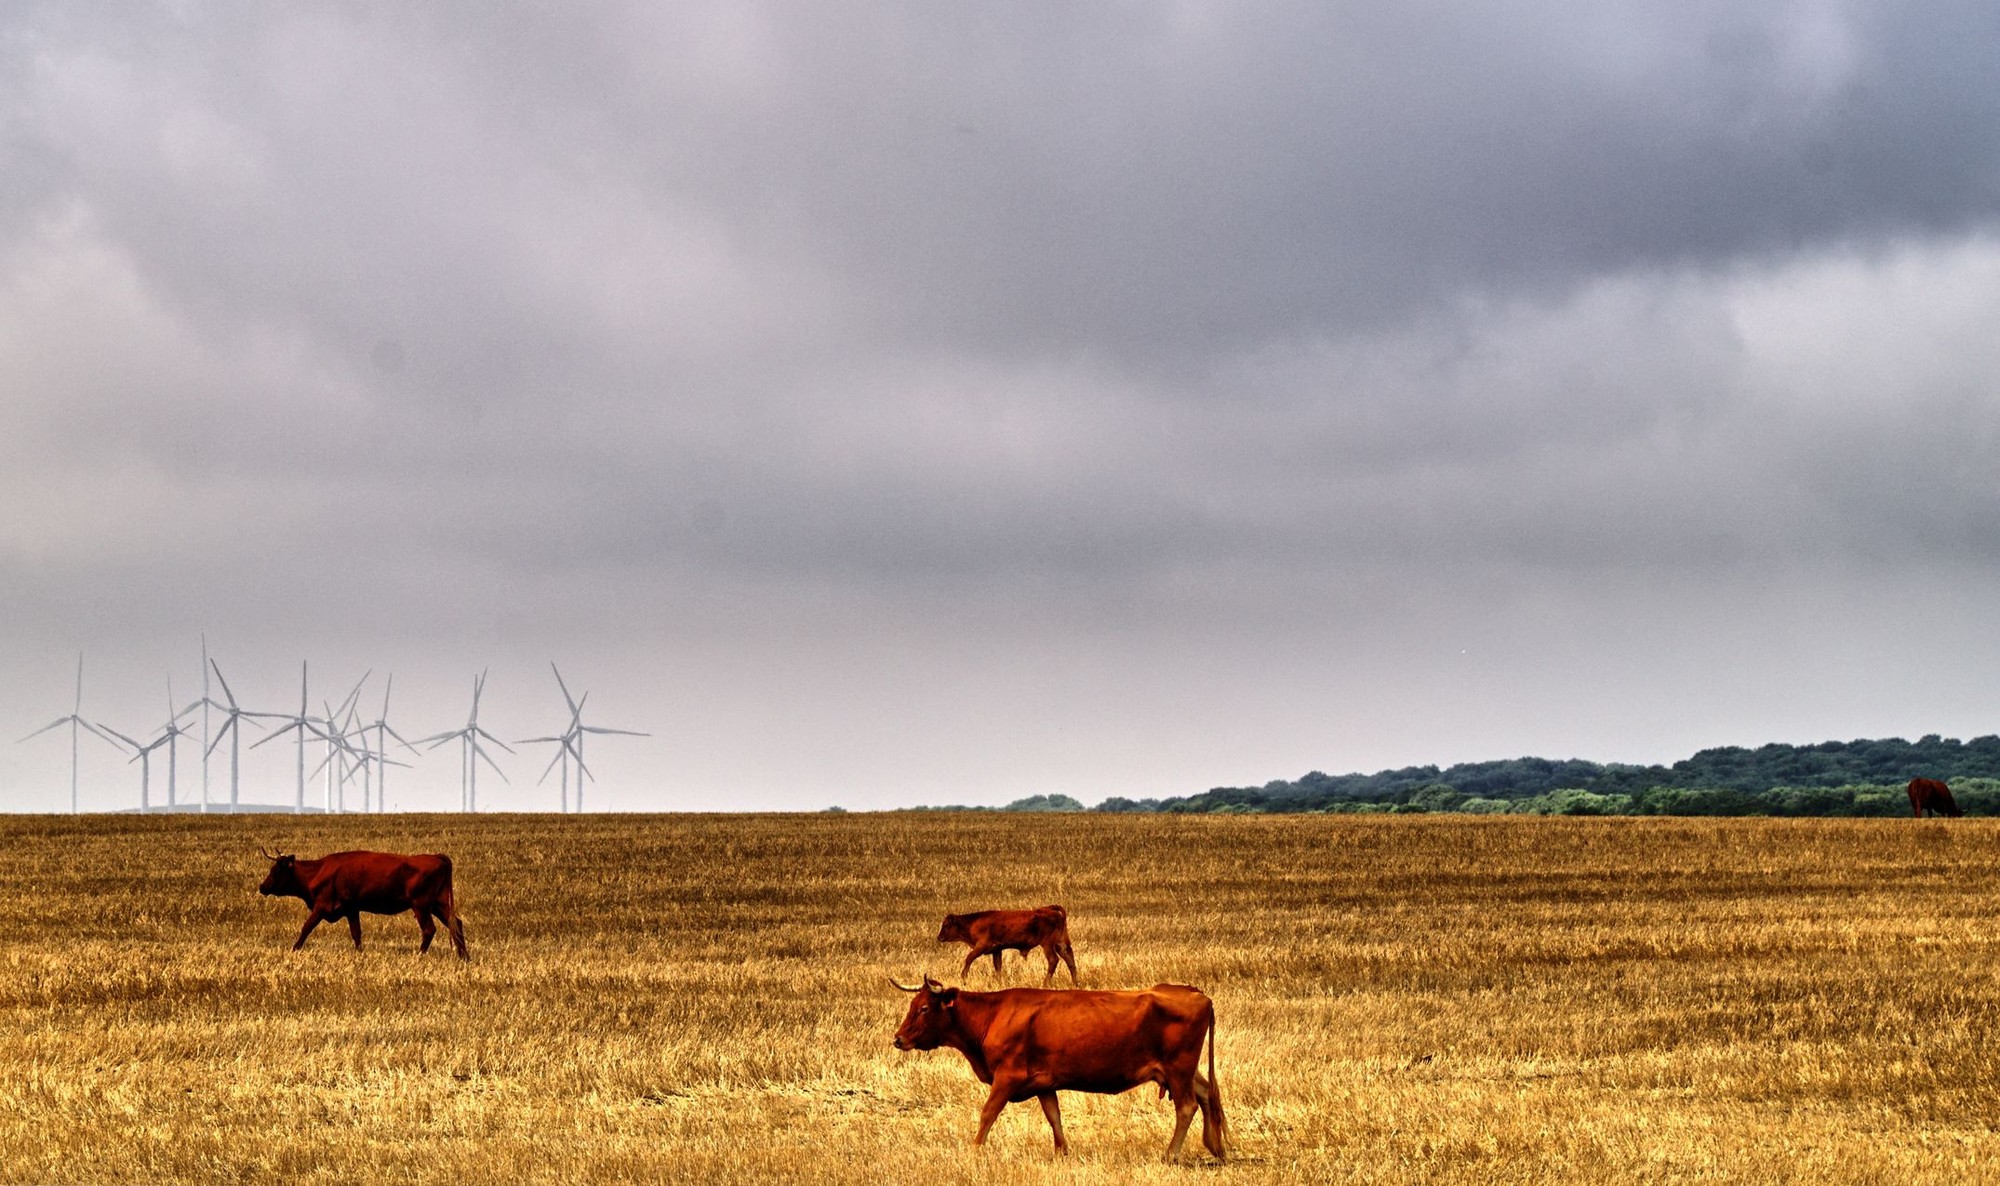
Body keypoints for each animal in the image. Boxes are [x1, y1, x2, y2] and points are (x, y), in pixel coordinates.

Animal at [258, 848, 468, 956]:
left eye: (276, 871)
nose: (262, 886)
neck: (317, 871)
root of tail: (436, 856)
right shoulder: (351, 909)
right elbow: (356, 933)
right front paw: (360, 953)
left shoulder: (321, 906)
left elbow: (306, 927)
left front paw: (294, 949)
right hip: (439, 904)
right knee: (456, 923)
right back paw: (464, 956)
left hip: (421, 905)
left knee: (429, 929)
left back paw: (420, 955)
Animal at [896, 976, 1232, 1160]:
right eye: (911, 1006)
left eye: (923, 1008)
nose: (898, 1039)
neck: (994, 1015)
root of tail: (1194, 992)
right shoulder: (1044, 1083)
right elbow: (1054, 1117)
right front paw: (1062, 1152)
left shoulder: (1007, 1076)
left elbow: (987, 1113)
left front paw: (975, 1148)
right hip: (1184, 1071)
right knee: (1207, 1094)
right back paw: (1215, 1146)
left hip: (1178, 1068)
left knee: (1187, 1106)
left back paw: (1171, 1154)